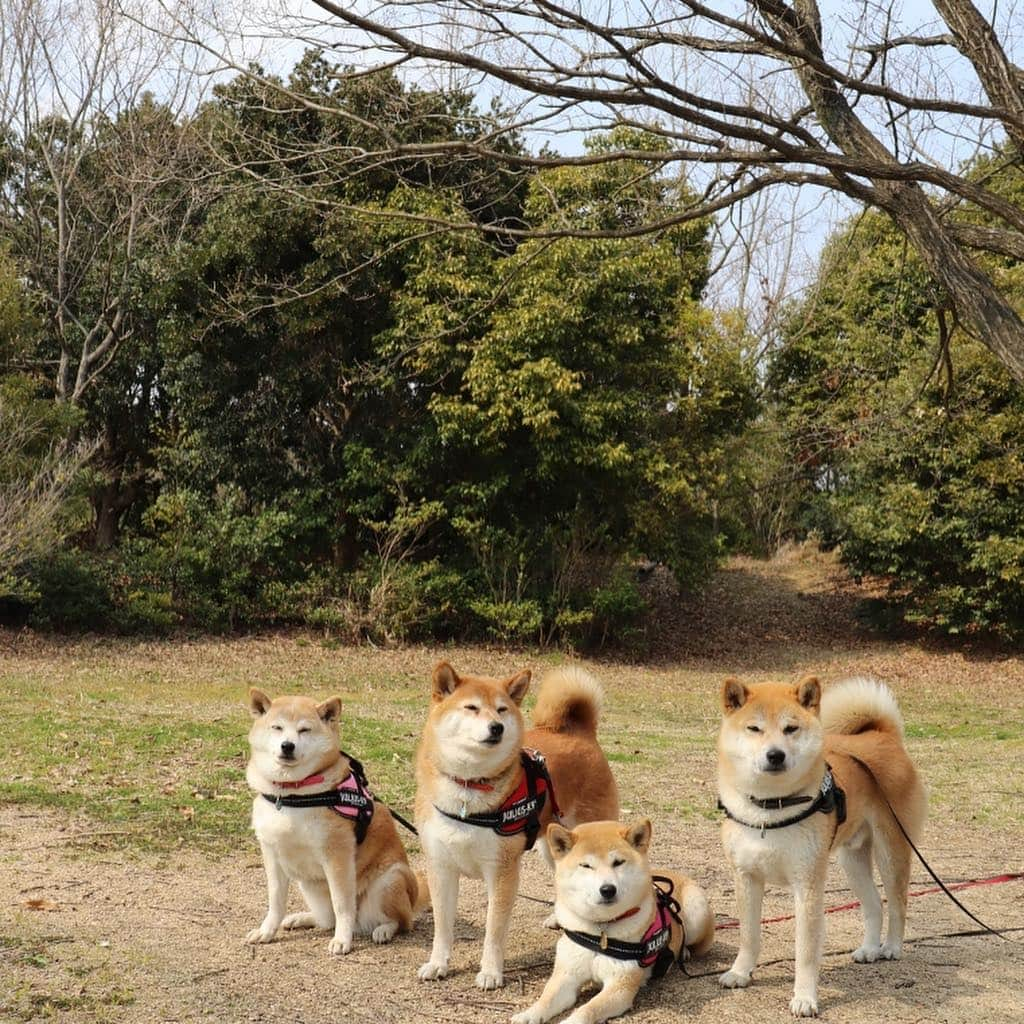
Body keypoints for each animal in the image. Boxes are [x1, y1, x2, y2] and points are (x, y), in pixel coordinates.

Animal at [245, 692, 425, 954]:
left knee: (401, 921)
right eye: (277, 727)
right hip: (309, 886)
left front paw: (343, 940)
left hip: (390, 880)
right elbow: (275, 902)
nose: (287, 745)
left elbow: (342, 905)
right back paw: (301, 918)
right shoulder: (272, 854)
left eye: (304, 730)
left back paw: (383, 930)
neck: (292, 795)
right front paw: (267, 931)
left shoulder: (337, 857)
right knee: (326, 920)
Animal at [413, 663, 614, 991]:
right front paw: (437, 964)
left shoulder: (502, 870)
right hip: (553, 847)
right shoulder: (440, 867)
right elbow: (442, 926)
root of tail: (580, 732)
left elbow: (494, 930)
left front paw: (491, 972)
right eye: (471, 707)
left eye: (501, 709)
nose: (497, 727)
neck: (469, 788)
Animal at [512, 819, 712, 1024]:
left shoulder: (620, 986)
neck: (601, 931)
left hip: (697, 912)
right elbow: (546, 999)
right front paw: (527, 1015)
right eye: (586, 866)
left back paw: (684, 951)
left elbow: (588, 1009)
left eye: (618, 863)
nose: (607, 889)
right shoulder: (566, 975)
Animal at [716, 671, 925, 1015]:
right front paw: (740, 972)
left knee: (897, 903)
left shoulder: (808, 884)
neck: (771, 808)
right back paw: (869, 949)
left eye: (791, 728)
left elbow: (806, 950)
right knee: (874, 904)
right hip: (852, 860)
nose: (775, 754)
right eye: (754, 728)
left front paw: (804, 998)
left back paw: (892, 946)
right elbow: (748, 934)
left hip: (891, 850)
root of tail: (885, 735)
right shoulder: (746, 876)